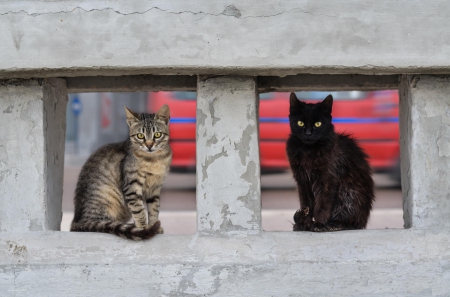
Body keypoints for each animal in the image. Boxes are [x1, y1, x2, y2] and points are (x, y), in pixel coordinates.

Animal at [70, 104, 172, 238]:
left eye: (157, 134)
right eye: (140, 136)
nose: (149, 145)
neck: (154, 159)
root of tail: (76, 221)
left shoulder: (155, 189)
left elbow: (154, 209)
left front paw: (154, 225)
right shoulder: (131, 187)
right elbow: (139, 211)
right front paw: (144, 228)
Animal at [286, 92, 374, 231]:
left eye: (318, 124)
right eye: (300, 123)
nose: (308, 133)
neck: (308, 150)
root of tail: (363, 220)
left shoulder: (327, 179)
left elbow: (323, 204)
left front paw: (319, 224)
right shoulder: (302, 180)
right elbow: (306, 204)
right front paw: (305, 224)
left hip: (348, 192)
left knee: (351, 222)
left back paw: (334, 224)